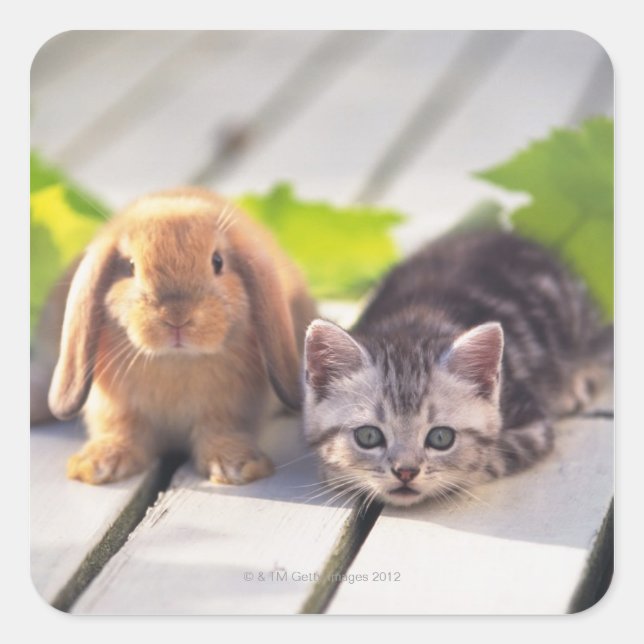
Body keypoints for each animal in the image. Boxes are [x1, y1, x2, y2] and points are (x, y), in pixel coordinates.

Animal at [45, 187, 317, 485]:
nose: (176, 317)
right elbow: (121, 431)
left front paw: (238, 467)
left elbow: (221, 431)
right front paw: (95, 466)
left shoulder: (228, 409)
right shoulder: (116, 410)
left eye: (217, 262)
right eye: (130, 266)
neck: (176, 361)